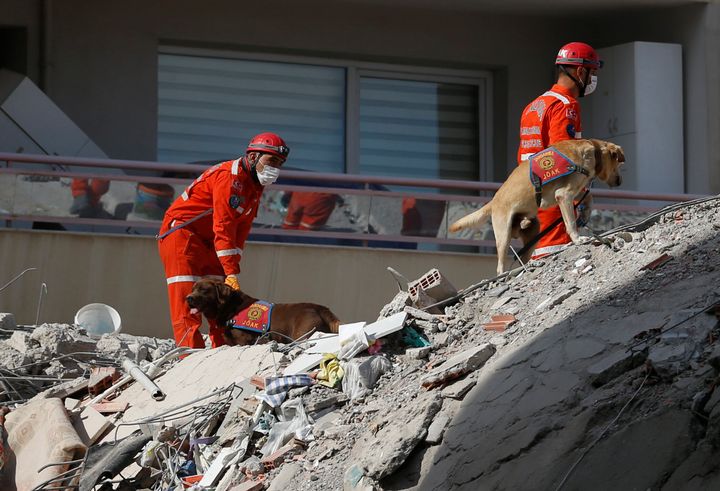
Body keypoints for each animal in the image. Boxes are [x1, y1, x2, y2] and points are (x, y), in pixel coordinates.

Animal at [188, 280, 340, 346]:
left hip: (303, 332)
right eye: (193, 289)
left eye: (203, 290)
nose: (188, 298)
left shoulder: (244, 339)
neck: (231, 308)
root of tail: (321, 308)